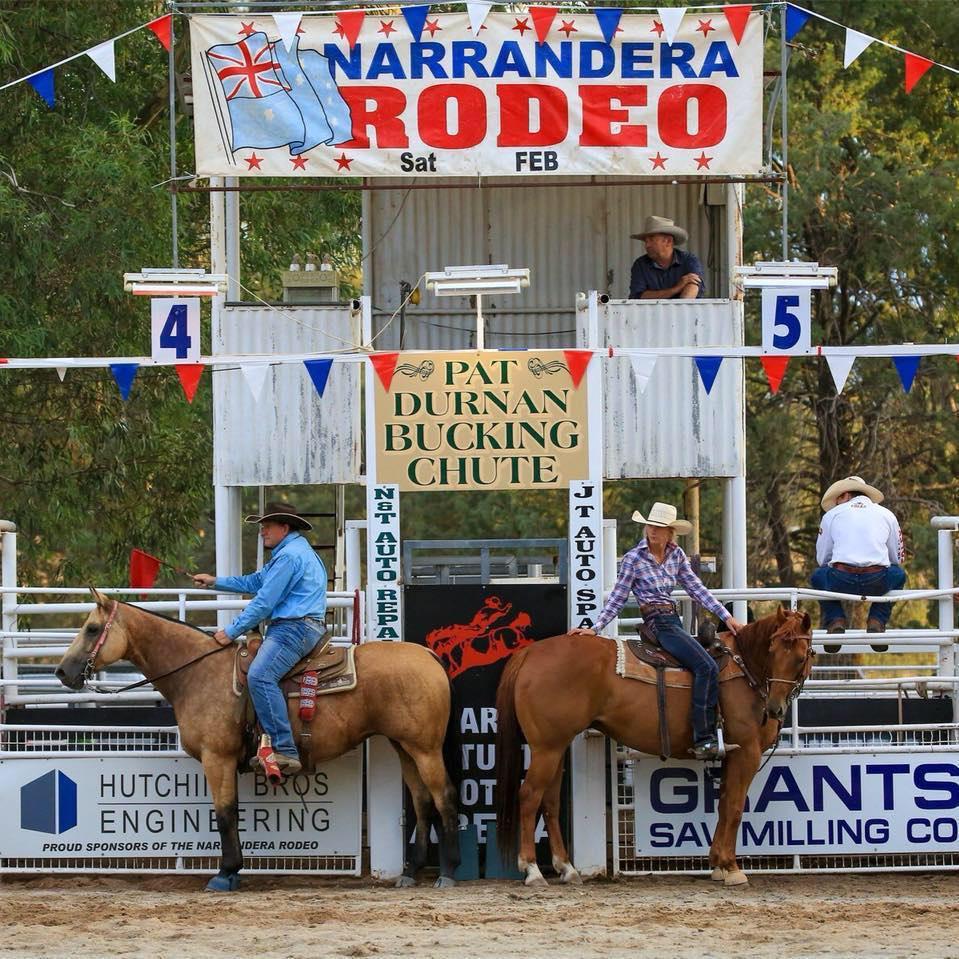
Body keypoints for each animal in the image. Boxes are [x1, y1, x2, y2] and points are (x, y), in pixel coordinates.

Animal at [57, 588, 462, 896]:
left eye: (92, 628)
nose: (62, 672)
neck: (199, 672)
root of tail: (428, 656)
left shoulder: (216, 758)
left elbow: (224, 814)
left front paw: (225, 874)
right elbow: (232, 813)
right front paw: (233, 871)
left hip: (425, 748)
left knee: (443, 797)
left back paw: (448, 872)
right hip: (403, 746)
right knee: (422, 800)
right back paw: (410, 872)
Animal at [496, 612, 816, 888]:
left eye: (800, 657)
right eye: (773, 651)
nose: (774, 709)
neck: (744, 667)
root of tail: (530, 653)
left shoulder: (732, 755)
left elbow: (724, 805)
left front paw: (716, 864)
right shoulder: (746, 753)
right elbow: (735, 808)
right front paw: (731, 867)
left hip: (556, 747)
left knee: (549, 801)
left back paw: (566, 868)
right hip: (546, 748)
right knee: (529, 796)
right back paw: (532, 870)